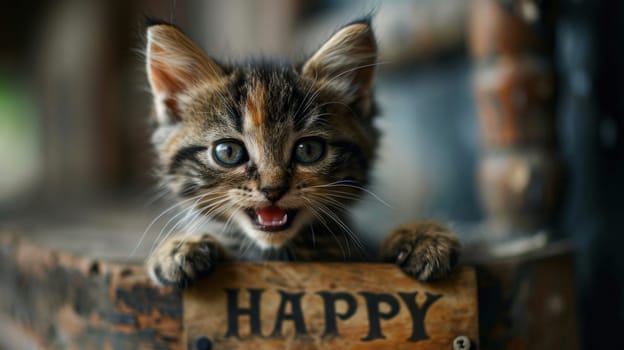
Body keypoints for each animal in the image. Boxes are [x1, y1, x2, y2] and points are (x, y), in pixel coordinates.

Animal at [144, 18, 460, 288]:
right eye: (228, 152)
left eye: (308, 150)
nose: (273, 190)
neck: (277, 252)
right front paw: (180, 247)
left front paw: (423, 237)